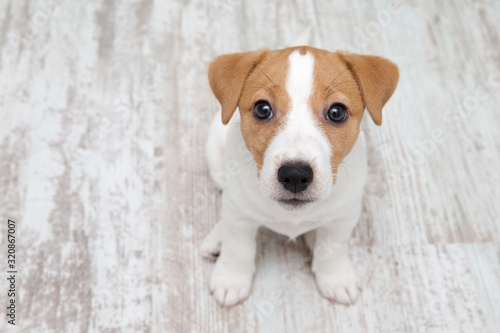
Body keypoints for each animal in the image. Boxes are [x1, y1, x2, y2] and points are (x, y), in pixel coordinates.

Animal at [199, 46, 398, 306]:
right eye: (262, 109)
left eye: (337, 112)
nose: (295, 175)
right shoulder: (237, 212)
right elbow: (239, 247)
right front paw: (231, 278)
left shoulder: (344, 216)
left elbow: (333, 248)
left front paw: (336, 278)